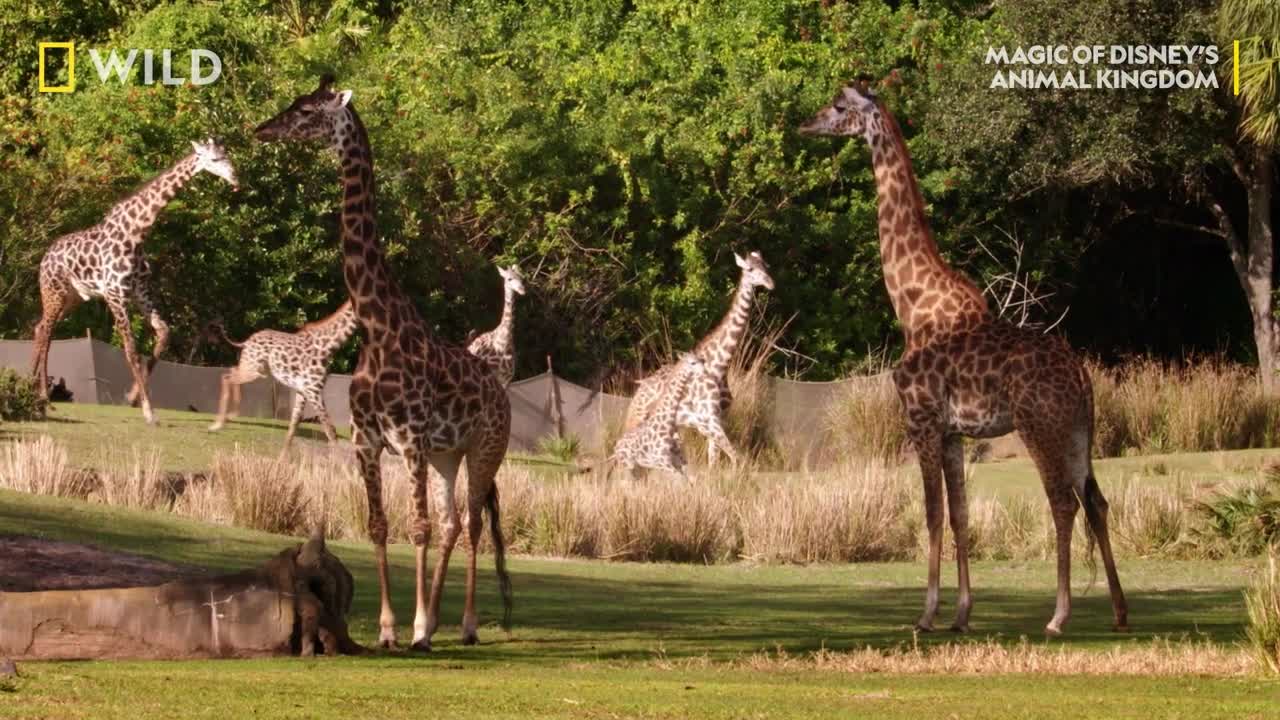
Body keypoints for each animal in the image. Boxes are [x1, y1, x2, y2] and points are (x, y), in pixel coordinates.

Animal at [30, 139, 238, 420]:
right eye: (214, 160)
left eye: (227, 155)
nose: (235, 177)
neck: (136, 234)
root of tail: (44, 258)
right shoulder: (115, 294)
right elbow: (131, 349)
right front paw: (149, 411)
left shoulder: (140, 292)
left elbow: (163, 333)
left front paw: (132, 398)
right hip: (54, 292)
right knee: (47, 331)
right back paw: (43, 395)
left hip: (73, 298)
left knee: (40, 328)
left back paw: (30, 386)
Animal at [208, 299, 360, 450]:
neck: (327, 345)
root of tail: (246, 341)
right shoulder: (313, 390)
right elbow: (330, 431)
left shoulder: (303, 390)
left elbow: (293, 429)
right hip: (252, 369)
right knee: (227, 377)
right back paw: (218, 425)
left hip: (257, 368)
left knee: (231, 371)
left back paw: (230, 416)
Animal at [252, 75, 512, 648]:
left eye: (307, 111)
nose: (262, 130)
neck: (378, 326)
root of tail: (503, 394)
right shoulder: (368, 440)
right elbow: (380, 526)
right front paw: (392, 629)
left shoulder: (409, 439)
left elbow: (415, 528)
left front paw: (414, 630)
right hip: (447, 456)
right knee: (452, 523)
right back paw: (436, 621)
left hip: (483, 451)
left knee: (472, 525)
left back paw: (463, 626)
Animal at [619, 251, 768, 466]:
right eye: (750, 269)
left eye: (766, 266)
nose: (770, 283)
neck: (718, 366)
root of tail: (639, 387)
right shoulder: (706, 419)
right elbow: (733, 454)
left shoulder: (716, 417)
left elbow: (715, 456)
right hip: (639, 417)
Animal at [803, 79, 1126, 632]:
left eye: (840, 105)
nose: (807, 123)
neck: (912, 305)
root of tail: (1083, 377)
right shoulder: (954, 432)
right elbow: (960, 513)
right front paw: (960, 614)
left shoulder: (921, 419)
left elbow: (932, 511)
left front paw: (926, 614)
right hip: (1079, 430)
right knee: (1096, 500)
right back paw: (1120, 611)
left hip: (1039, 425)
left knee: (1063, 502)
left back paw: (1058, 616)